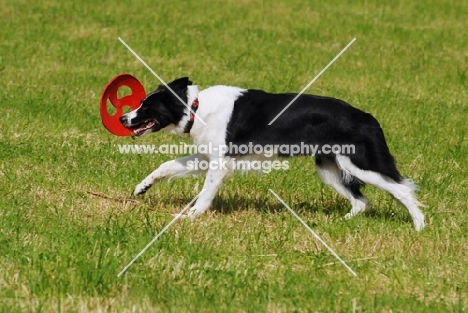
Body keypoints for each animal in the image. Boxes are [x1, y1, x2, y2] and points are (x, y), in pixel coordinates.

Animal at [119, 77, 426, 230]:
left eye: (146, 107)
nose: (123, 118)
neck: (195, 108)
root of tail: (368, 117)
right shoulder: (207, 157)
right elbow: (166, 165)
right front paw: (142, 187)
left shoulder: (219, 164)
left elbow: (205, 193)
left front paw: (191, 217)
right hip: (329, 168)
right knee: (361, 202)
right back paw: (338, 225)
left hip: (360, 164)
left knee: (402, 190)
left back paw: (419, 226)